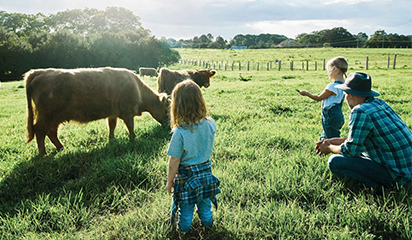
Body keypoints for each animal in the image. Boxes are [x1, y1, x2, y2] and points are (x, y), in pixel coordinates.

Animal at [25, 66, 170, 155]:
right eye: (167, 111)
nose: (170, 126)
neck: (138, 89)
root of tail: (37, 72)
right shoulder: (127, 112)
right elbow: (130, 126)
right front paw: (133, 138)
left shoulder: (113, 113)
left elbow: (112, 126)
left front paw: (111, 139)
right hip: (47, 115)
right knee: (40, 130)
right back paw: (43, 153)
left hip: (54, 117)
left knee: (51, 132)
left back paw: (61, 148)